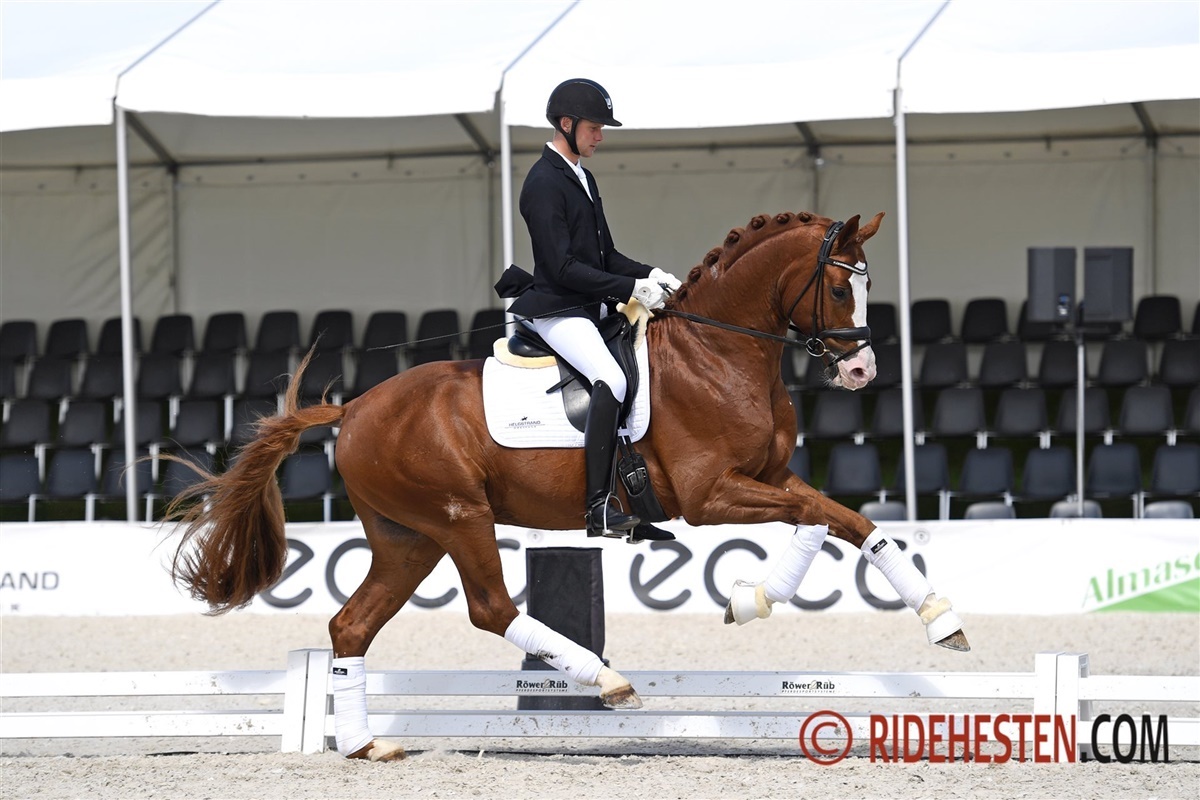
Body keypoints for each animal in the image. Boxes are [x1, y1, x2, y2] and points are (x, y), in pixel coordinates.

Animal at [167, 209, 968, 762]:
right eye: (837, 286)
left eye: (866, 286)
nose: (860, 370)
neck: (718, 353)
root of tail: (354, 407)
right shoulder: (711, 496)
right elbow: (819, 516)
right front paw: (763, 599)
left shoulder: (767, 476)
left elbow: (840, 521)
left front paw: (927, 616)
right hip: (458, 518)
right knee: (489, 609)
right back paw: (607, 681)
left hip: (409, 538)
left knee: (352, 626)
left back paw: (367, 746)